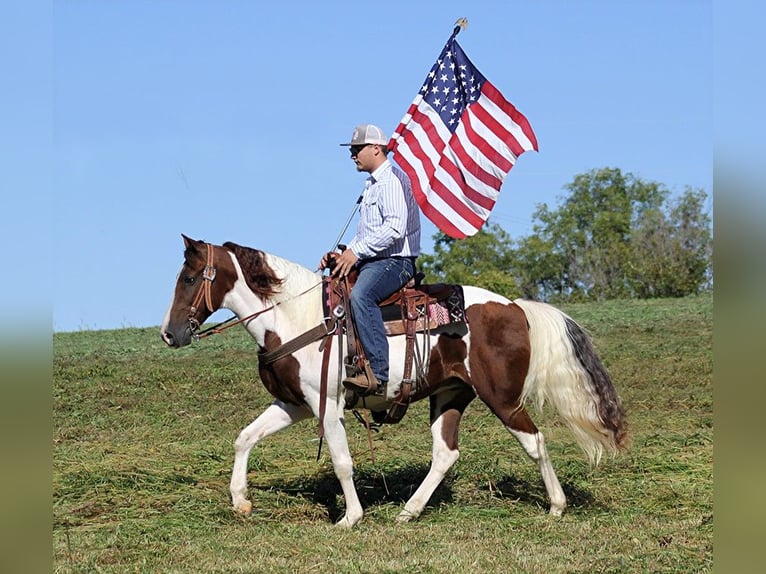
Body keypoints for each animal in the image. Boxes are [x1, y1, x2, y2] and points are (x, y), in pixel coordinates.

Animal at [162, 236, 632, 528]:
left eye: (189, 278)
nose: (169, 334)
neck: (297, 318)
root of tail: (516, 308)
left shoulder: (328, 406)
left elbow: (342, 461)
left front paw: (350, 517)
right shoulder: (295, 404)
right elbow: (245, 437)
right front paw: (240, 500)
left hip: (501, 397)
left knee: (534, 441)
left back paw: (556, 507)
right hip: (449, 395)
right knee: (445, 454)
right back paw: (409, 511)